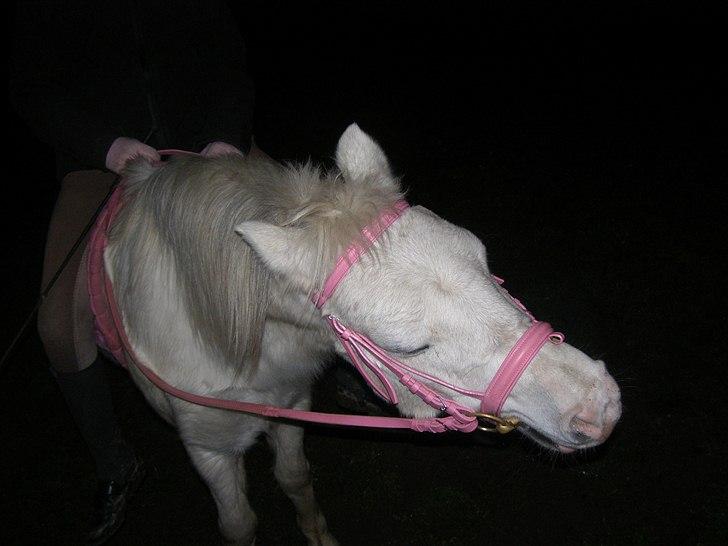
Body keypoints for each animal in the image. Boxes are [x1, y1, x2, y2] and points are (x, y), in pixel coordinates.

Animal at [98, 124, 621, 544]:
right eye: (407, 347)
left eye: (485, 262)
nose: (599, 408)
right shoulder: (208, 450)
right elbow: (239, 523)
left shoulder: (291, 407)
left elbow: (296, 478)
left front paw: (318, 534)